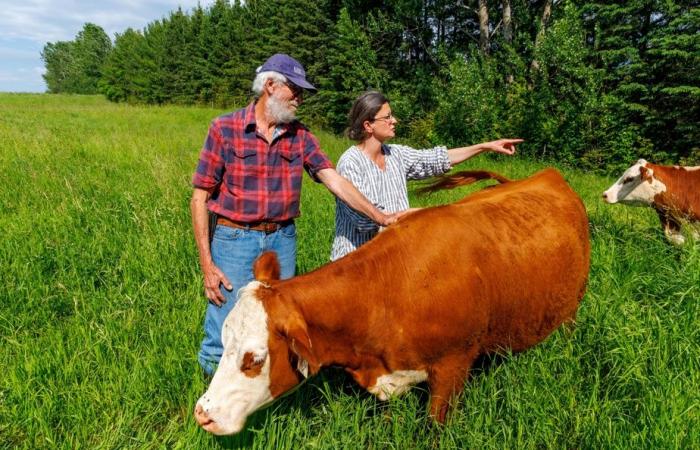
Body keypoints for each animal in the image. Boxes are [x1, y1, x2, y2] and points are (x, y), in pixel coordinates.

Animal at [193, 167, 592, 434]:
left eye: (254, 359)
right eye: (224, 343)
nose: (203, 413)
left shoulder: (453, 366)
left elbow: (435, 428)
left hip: (571, 310)